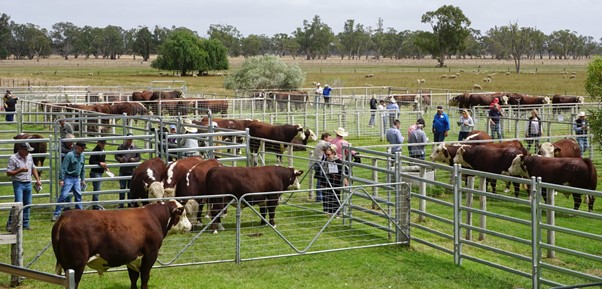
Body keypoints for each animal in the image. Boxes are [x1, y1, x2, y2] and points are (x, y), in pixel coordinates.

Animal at [53, 200, 191, 288]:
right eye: (183, 214)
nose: (190, 226)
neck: (155, 217)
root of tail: (67, 216)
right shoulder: (150, 254)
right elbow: (145, 278)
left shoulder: (132, 258)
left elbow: (133, 279)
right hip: (76, 265)